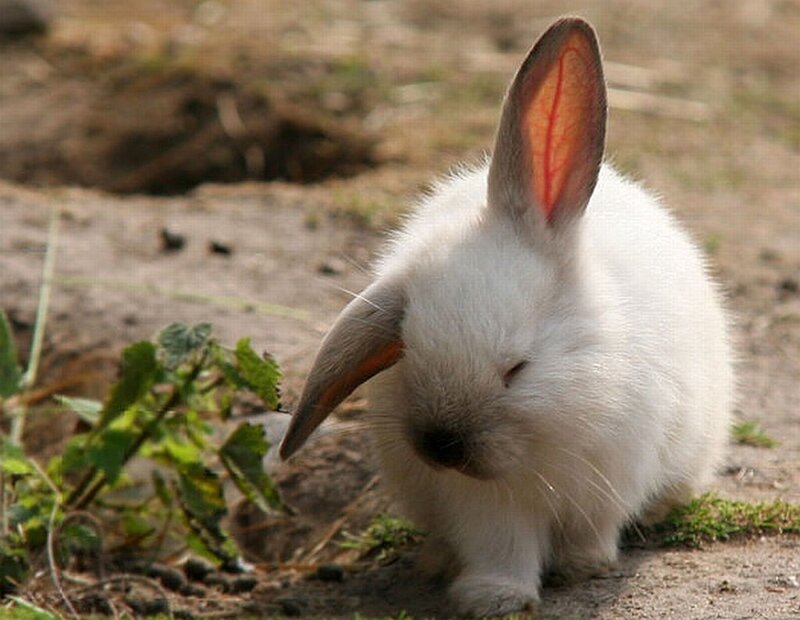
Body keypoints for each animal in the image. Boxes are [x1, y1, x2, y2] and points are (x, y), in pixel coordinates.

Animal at [280, 16, 733, 618]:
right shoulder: (484, 505)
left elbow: (593, 532)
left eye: (517, 368)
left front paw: (582, 566)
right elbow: (501, 546)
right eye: (409, 348)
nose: (440, 446)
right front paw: (494, 598)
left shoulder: (608, 481)